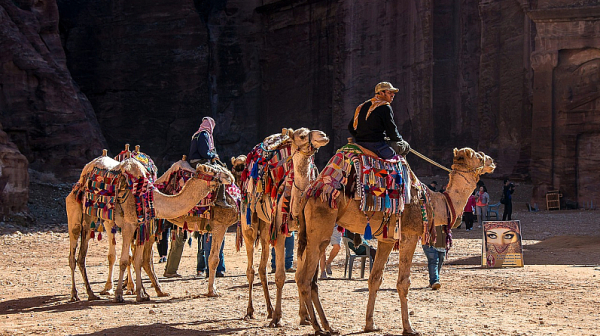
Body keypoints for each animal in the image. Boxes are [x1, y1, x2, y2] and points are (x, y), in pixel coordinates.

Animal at [67, 156, 232, 304]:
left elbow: (137, 260)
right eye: (214, 171)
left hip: (92, 219)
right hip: (75, 212)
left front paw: (141, 294)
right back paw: (76, 294)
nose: (230, 176)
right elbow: (125, 260)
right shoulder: (128, 225)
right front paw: (119, 295)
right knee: (73, 254)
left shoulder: (142, 227)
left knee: (82, 256)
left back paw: (91, 294)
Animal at [241, 127, 330, 326]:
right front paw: (278, 318)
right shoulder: (281, 233)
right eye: (302, 136)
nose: (323, 135)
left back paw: (268, 310)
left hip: (266, 228)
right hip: (248, 223)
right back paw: (251, 311)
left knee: (261, 268)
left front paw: (304, 316)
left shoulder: (301, 232)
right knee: (251, 269)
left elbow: (298, 276)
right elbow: (280, 276)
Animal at [292, 148, 494, 336]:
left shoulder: (386, 240)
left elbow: (375, 279)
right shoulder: (409, 235)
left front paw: (370, 325)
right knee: (305, 279)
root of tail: (308, 194)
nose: (491, 161)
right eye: (478, 156)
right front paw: (409, 328)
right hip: (320, 227)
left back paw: (327, 326)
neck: (434, 203)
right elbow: (403, 282)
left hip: (309, 234)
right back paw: (318, 327)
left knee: (307, 278)